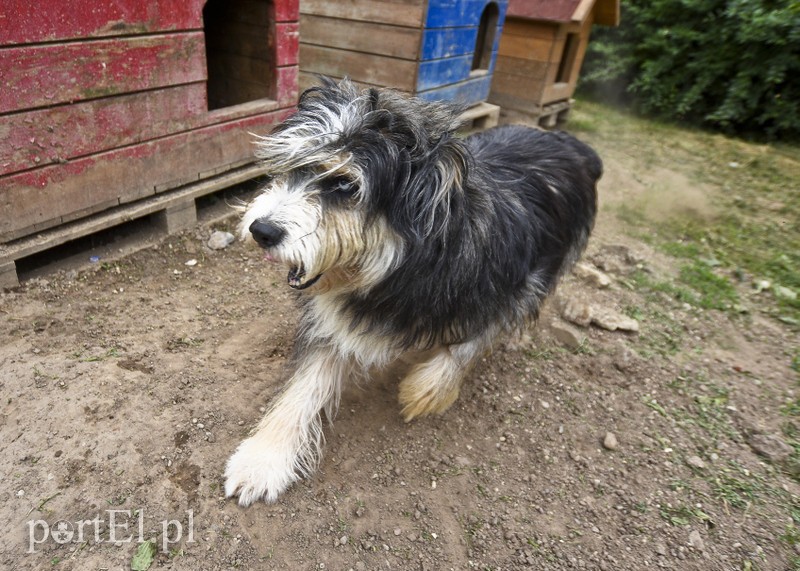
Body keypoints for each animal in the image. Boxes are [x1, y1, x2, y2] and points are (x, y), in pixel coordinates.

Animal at [225, 77, 600, 504]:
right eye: (294, 167)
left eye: (345, 183)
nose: (260, 230)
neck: (412, 262)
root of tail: (572, 143)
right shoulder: (336, 319)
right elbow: (303, 386)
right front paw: (263, 458)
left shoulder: (517, 286)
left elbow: (470, 342)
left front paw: (426, 389)